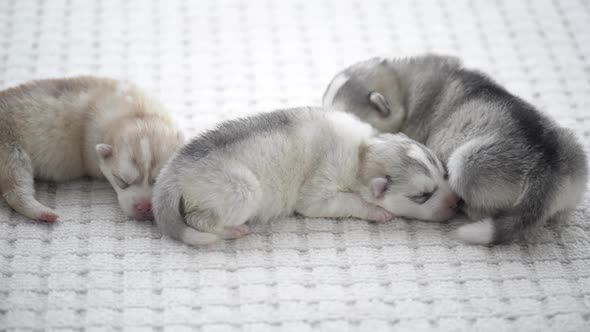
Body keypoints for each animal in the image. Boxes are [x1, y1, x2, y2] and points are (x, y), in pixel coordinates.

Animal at [0, 76, 184, 222]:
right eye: (121, 180)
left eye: (159, 179)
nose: (144, 207)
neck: (138, 115)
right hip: (11, 151)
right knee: (15, 189)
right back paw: (42, 212)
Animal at [153, 107, 458, 245]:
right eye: (423, 196)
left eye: (445, 174)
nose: (456, 203)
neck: (362, 151)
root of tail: (172, 173)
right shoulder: (321, 186)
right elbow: (338, 202)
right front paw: (376, 211)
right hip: (240, 190)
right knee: (200, 219)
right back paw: (231, 230)